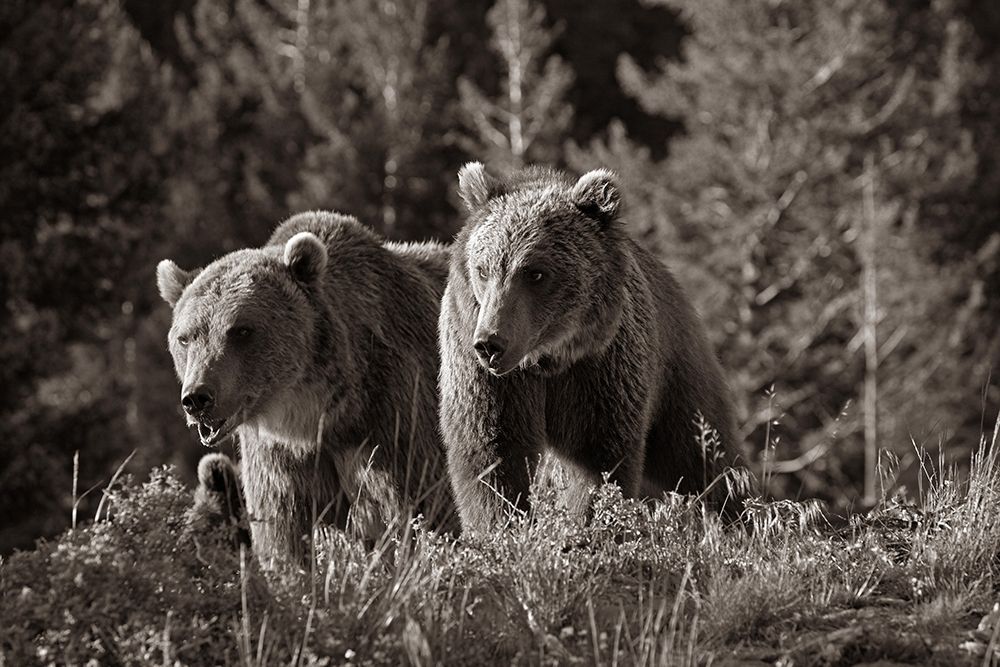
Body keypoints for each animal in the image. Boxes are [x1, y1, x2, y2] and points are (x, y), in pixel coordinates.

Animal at [157, 211, 458, 567]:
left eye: (241, 330)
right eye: (186, 337)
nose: (197, 398)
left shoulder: (393, 417)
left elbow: (425, 505)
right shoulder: (279, 458)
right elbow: (284, 534)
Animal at [438, 163, 750, 533]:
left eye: (536, 273)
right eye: (483, 270)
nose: (491, 343)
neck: (545, 358)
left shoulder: (599, 369)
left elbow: (596, 459)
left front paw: (585, 525)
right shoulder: (487, 375)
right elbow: (492, 454)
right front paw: (501, 527)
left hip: (677, 369)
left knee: (702, 452)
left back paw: (738, 518)